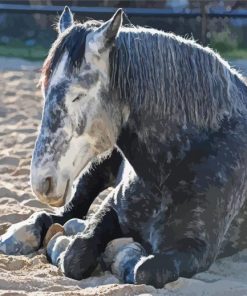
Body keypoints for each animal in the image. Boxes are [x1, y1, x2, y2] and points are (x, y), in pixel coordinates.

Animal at [1, 6, 247, 290]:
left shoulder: (197, 248)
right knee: (63, 213)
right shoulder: (113, 211)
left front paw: (125, 255)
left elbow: (146, 270)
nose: (42, 182)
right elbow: (76, 253)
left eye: (78, 95)